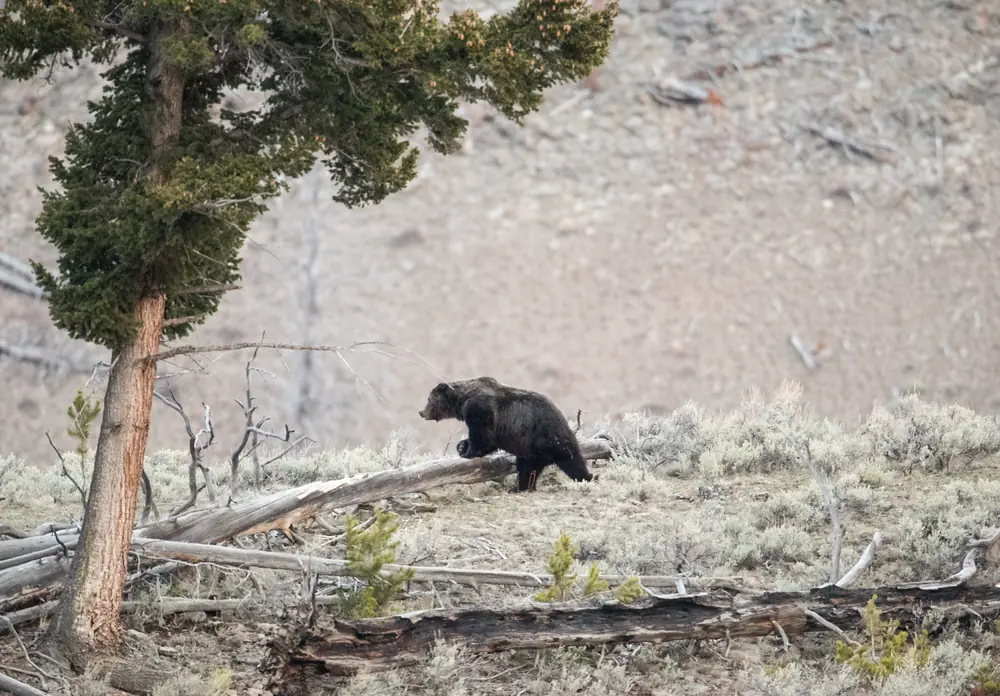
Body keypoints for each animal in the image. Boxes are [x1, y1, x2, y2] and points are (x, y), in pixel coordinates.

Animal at [418, 376, 596, 492]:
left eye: (429, 399)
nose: (421, 412)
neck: (462, 401)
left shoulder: (480, 411)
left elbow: (482, 437)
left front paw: (467, 451)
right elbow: (487, 442)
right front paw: (462, 446)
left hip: (547, 435)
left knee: (570, 457)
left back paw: (586, 477)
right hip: (529, 449)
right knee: (528, 468)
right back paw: (522, 486)